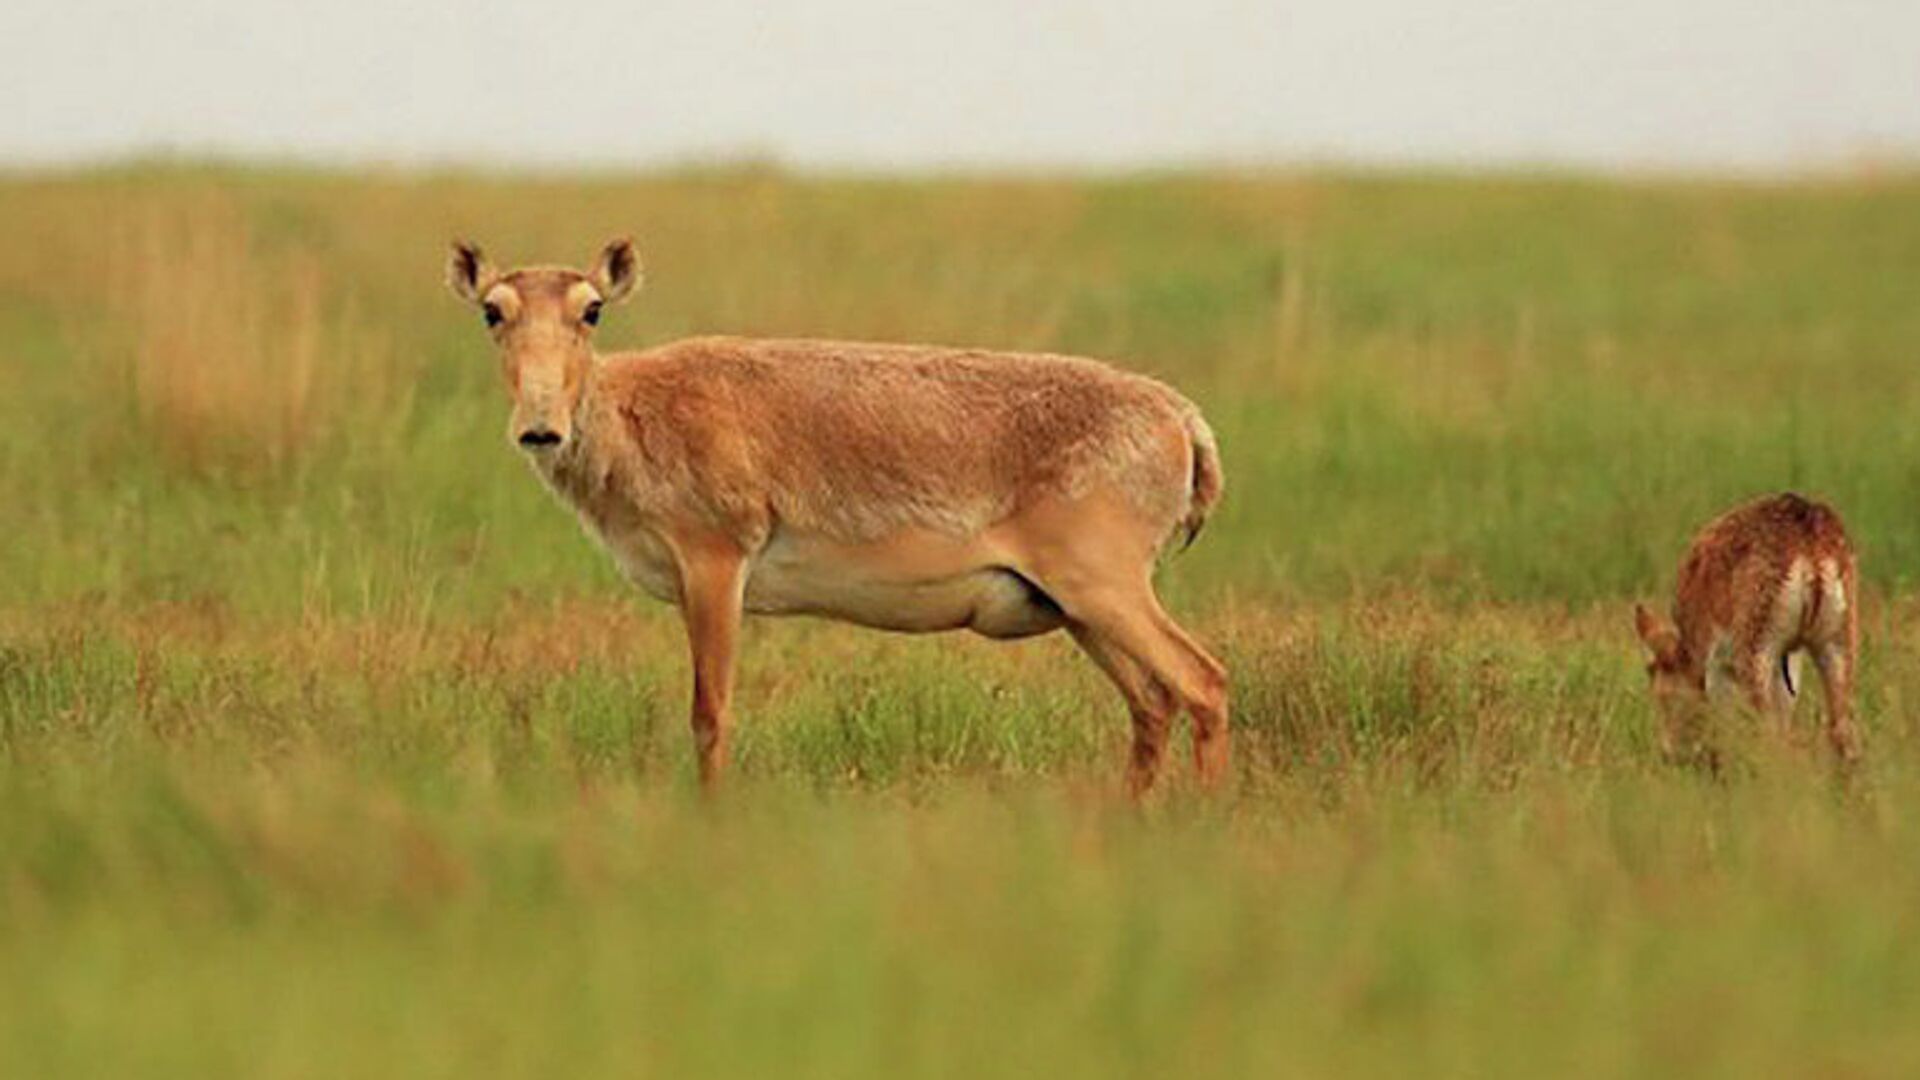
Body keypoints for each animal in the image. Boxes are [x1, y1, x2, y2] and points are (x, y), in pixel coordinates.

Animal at [445, 237, 1228, 791]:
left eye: (592, 309)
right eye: (492, 310)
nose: (541, 428)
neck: (632, 409)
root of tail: (1182, 419)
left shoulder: (714, 565)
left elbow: (710, 713)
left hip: (1105, 589)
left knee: (1203, 683)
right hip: (1074, 610)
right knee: (1153, 704)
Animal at [1635, 491, 1858, 760]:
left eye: (1663, 698)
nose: (1669, 754)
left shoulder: (1715, 661)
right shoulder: (1790, 658)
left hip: (1755, 644)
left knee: (1765, 729)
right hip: (1839, 634)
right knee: (1842, 732)